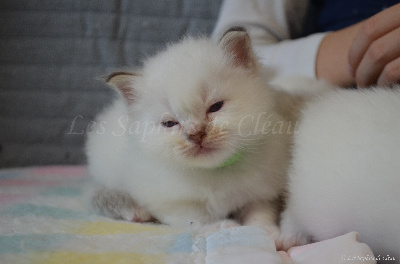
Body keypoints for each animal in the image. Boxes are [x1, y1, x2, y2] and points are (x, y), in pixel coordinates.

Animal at [86, 27, 296, 232]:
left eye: (215, 107)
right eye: (170, 123)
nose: (196, 134)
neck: (216, 172)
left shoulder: (262, 191)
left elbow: (259, 212)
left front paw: (265, 231)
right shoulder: (171, 202)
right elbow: (198, 218)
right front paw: (220, 226)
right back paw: (136, 211)